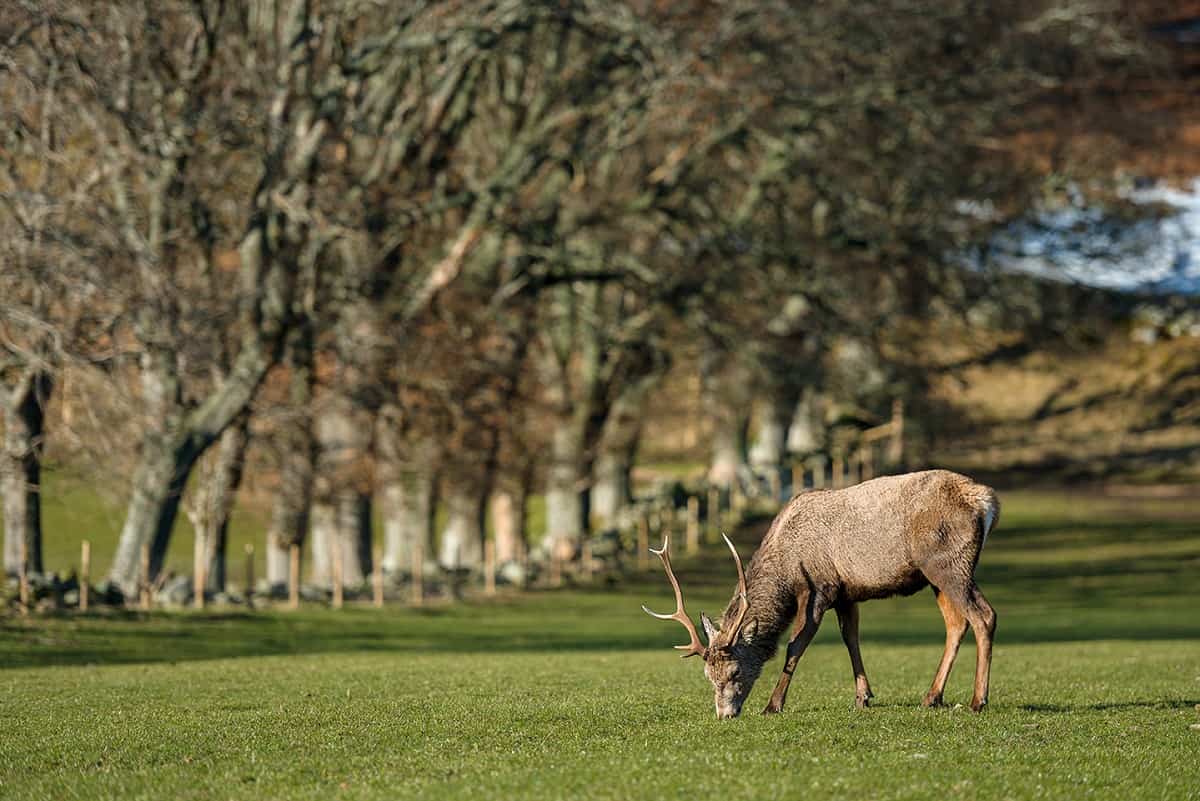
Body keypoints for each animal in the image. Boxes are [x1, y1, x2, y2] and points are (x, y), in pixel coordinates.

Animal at [643, 465, 998, 714]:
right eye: (708, 676)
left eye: (735, 671)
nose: (724, 714)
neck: (786, 568)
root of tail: (987, 501)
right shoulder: (846, 593)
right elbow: (850, 637)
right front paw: (863, 696)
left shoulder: (819, 588)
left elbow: (795, 645)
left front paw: (773, 704)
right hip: (936, 575)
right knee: (957, 623)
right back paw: (932, 697)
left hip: (950, 563)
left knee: (984, 616)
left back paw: (977, 700)